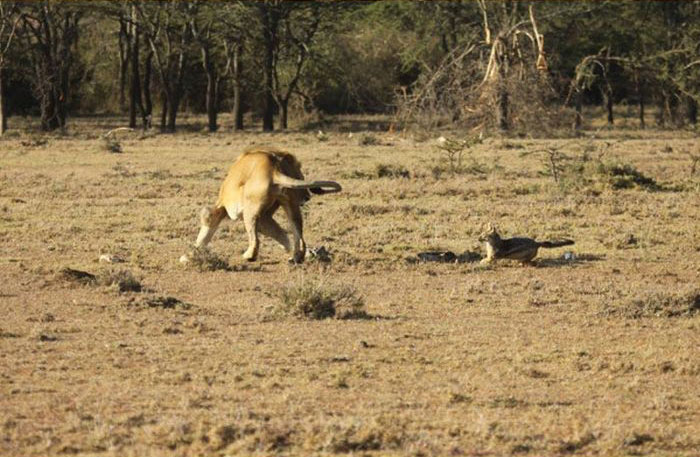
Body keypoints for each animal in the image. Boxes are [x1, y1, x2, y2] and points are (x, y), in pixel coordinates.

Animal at [186, 146, 340, 264]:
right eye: (301, 173)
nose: (307, 196)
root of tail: (274, 169)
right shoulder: (267, 215)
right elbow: (281, 235)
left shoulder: (230, 209)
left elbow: (208, 225)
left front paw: (190, 254)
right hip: (290, 203)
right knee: (299, 233)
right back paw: (297, 257)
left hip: (249, 210)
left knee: (255, 241)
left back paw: (249, 256)